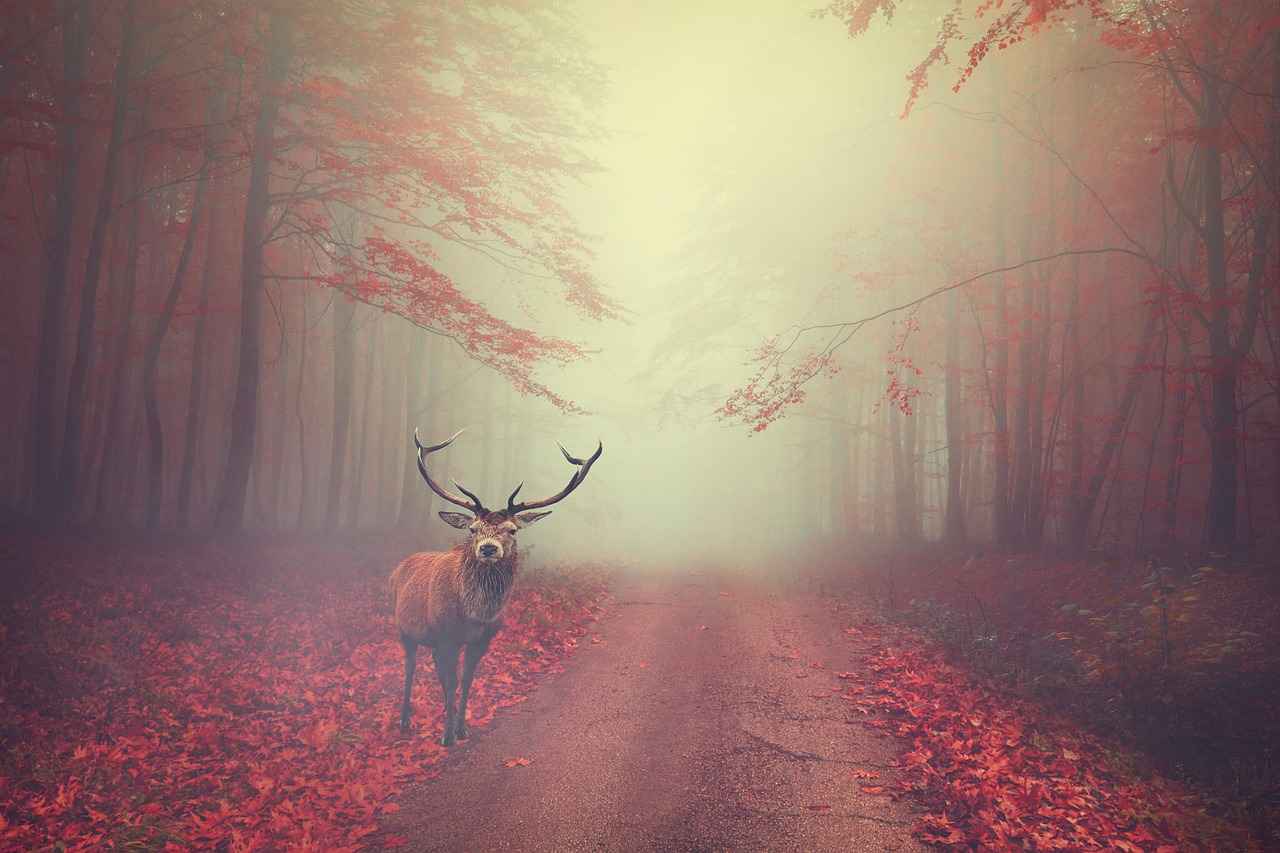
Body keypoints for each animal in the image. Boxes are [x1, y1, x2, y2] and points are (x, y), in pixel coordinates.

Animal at [389, 428, 602, 744]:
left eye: (512, 530)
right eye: (472, 528)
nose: (488, 548)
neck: (474, 615)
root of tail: (399, 566)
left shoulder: (483, 639)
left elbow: (466, 680)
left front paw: (462, 728)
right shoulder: (446, 637)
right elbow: (450, 682)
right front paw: (447, 736)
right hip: (405, 630)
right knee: (410, 668)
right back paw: (404, 720)